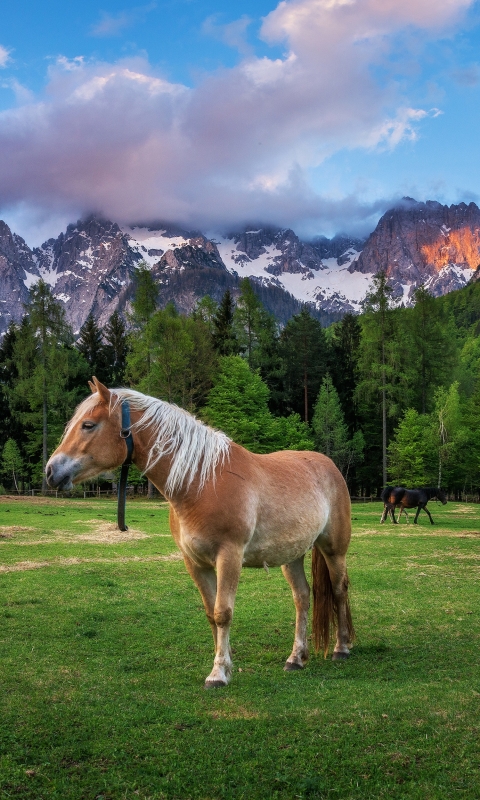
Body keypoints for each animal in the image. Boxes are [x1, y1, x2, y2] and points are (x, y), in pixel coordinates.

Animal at [46, 380, 352, 688]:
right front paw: (224, 663)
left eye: (88, 425)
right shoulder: (194, 562)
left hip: (334, 550)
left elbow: (223, 613)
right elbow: (210, 613)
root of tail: (329, 466)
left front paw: (218, 674)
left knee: (340, 589)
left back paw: (342, 648)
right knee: (302, 597)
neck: (201, 483)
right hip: (291, 556)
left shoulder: (229, 557)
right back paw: (296, 658)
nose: (51, 471)